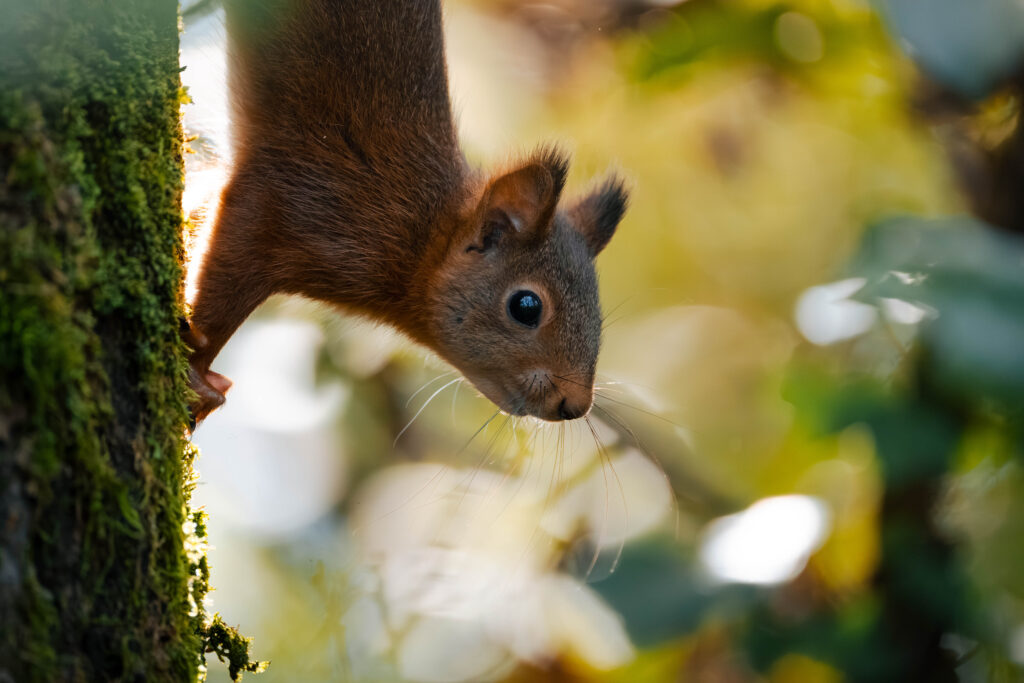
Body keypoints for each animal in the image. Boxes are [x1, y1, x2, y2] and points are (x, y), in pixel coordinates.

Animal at [185, 0, 629, 425]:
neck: (421, 231)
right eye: (526, 307)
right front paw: (198, 373)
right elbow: (227, 274)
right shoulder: (295, 199)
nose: (575, 405)